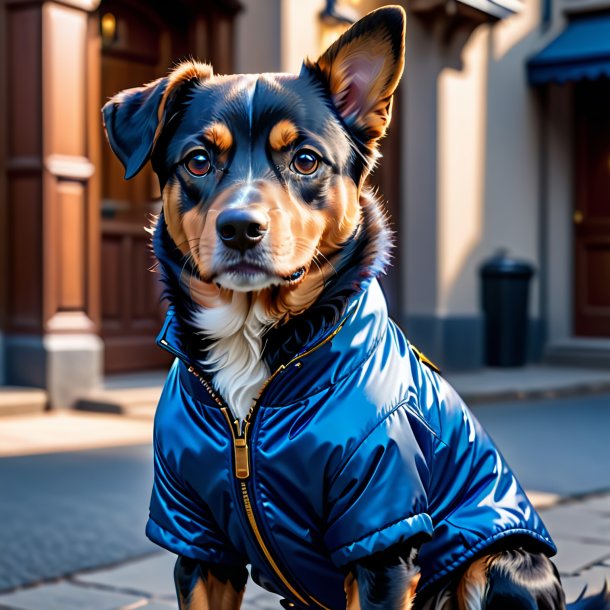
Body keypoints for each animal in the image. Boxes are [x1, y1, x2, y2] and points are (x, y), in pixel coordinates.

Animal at [102, 5, 604, 608]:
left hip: (502, 565)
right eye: (198, 161)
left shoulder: (381, 529)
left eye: (305, 159)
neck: (256, 344)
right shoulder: (197, 536)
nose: (241, 228)